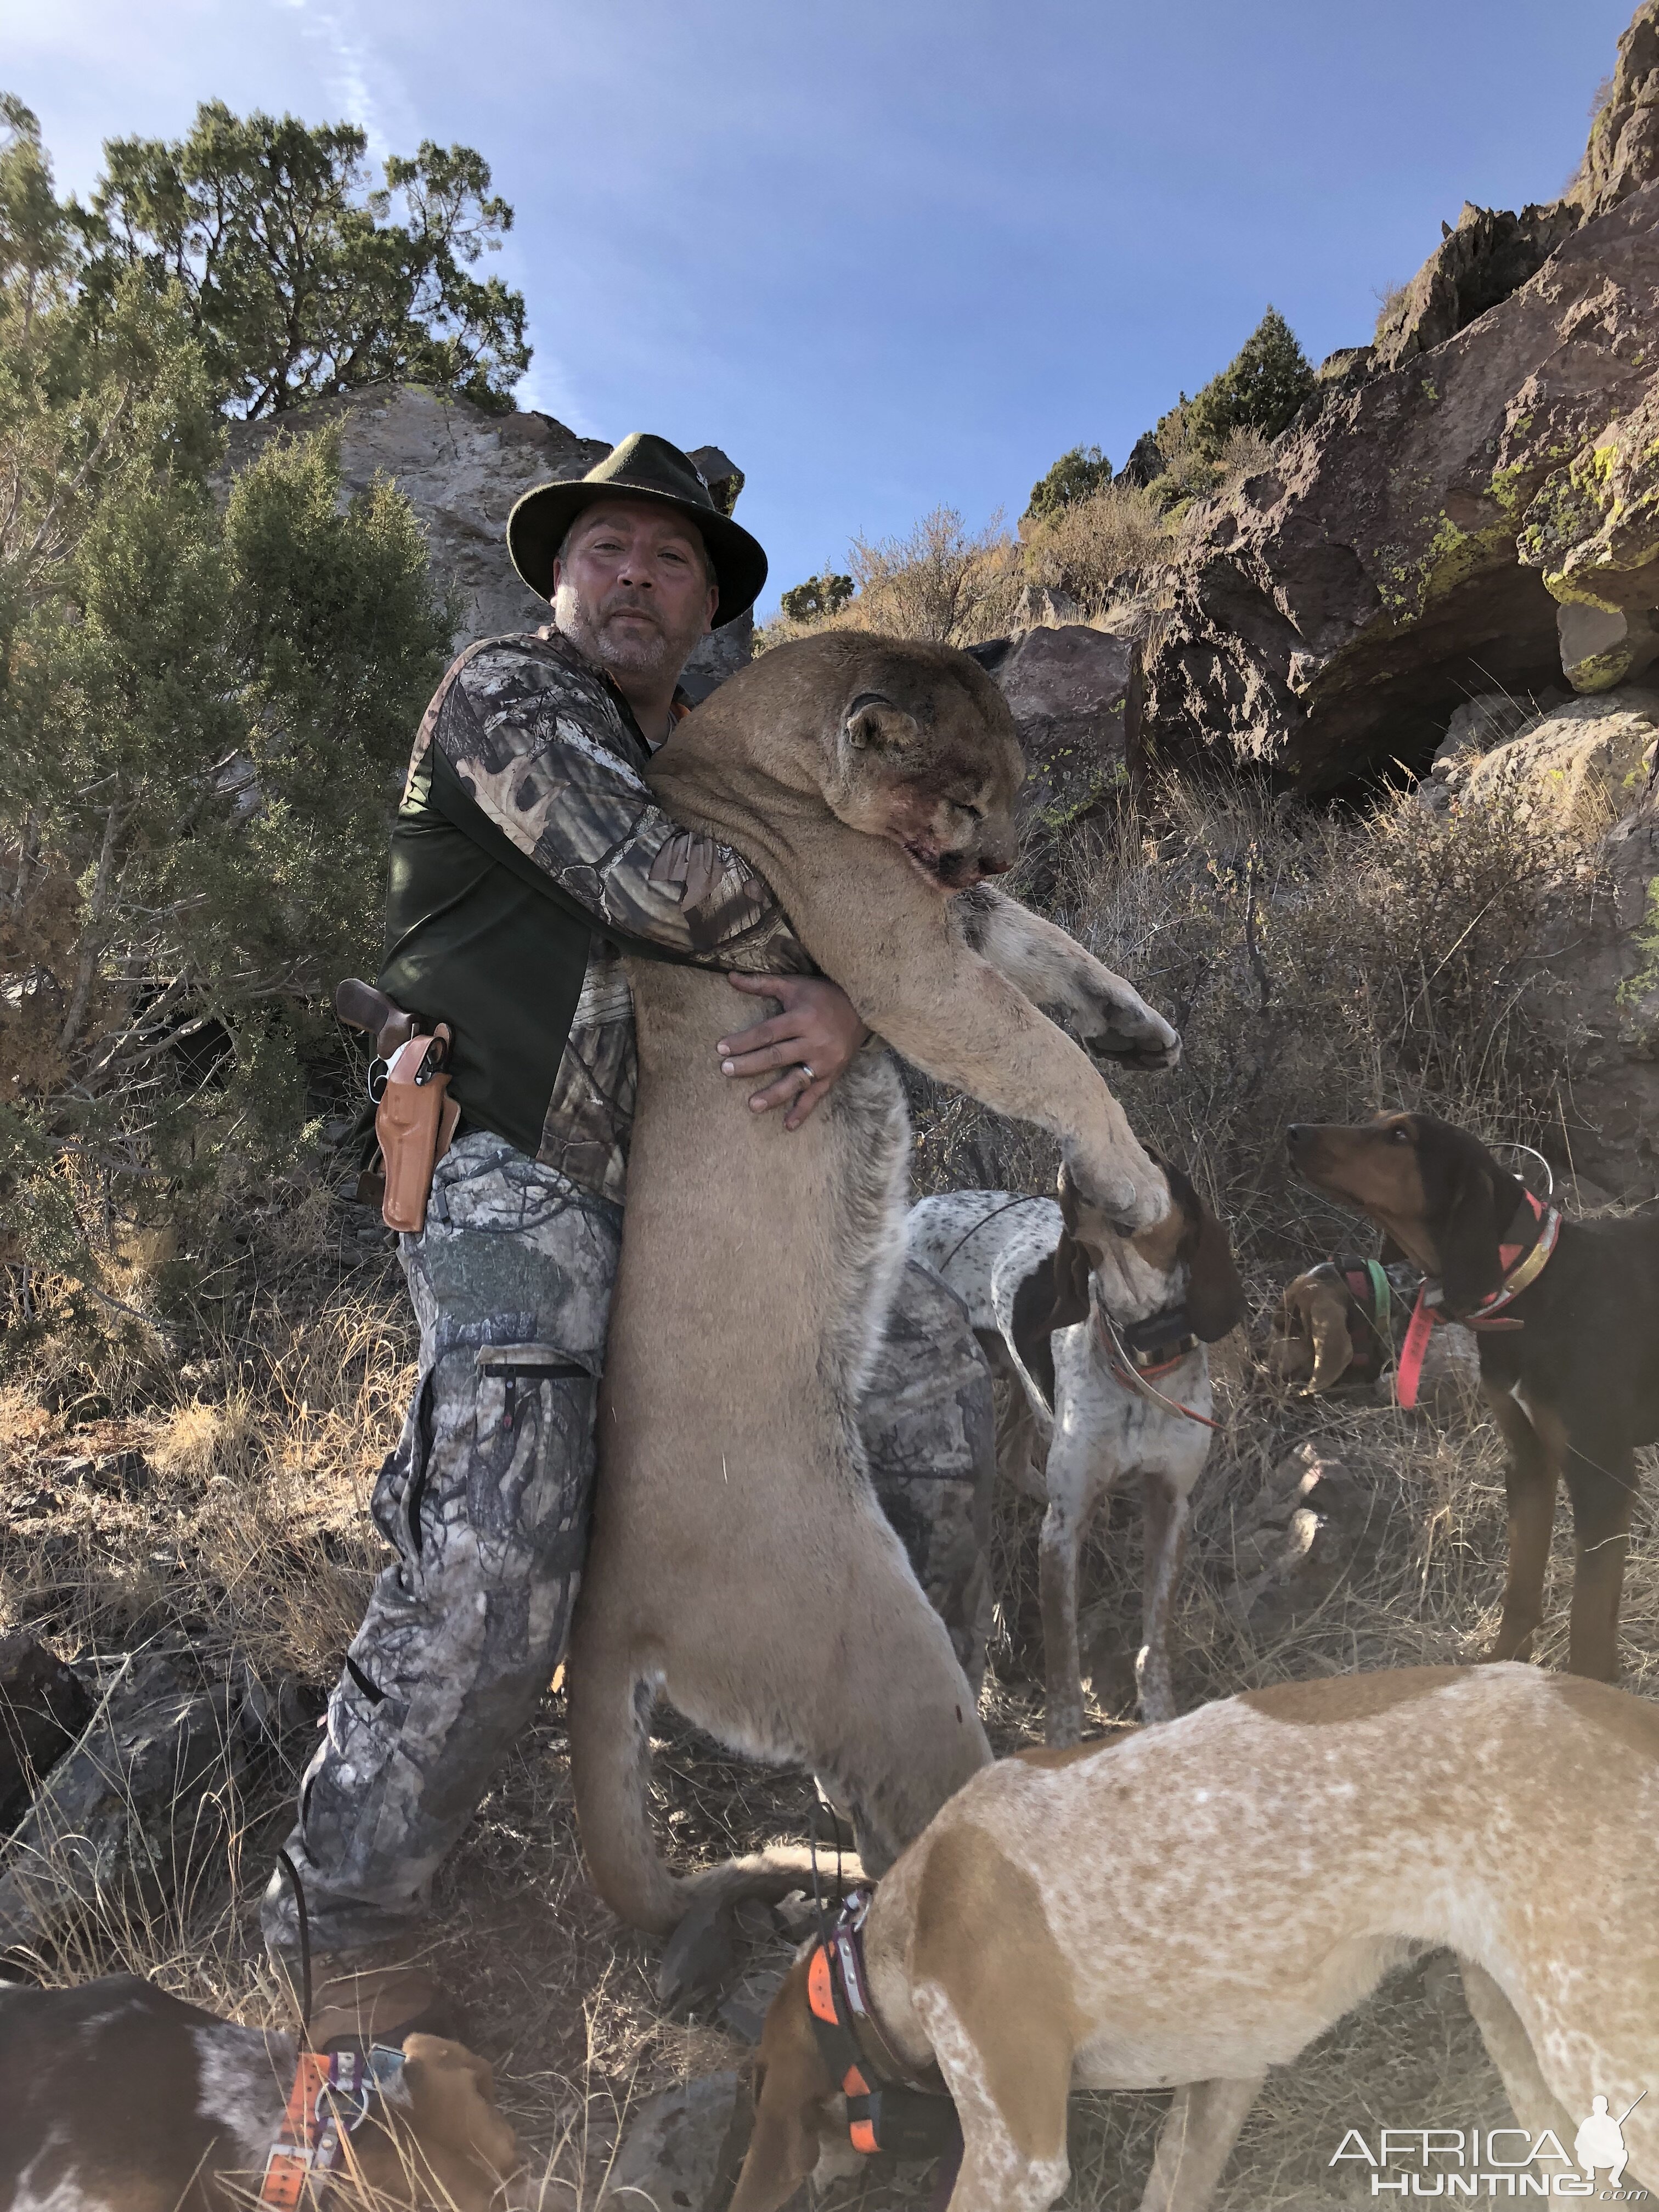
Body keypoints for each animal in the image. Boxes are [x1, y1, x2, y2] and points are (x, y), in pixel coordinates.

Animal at [571, 633, 1186, 1982]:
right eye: (964, 795)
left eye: (1015, 778)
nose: (997, 846)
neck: (756, 740)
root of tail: (604, 1608)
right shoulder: (904, 961)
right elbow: (1038, 1048)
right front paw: (1135, 1179)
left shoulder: (942, 914)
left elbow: (1042, 945)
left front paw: (1140, 1024)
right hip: (883, 1654)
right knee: (929, 1831)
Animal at [911, 1159, 1248, 1743]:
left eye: (1150, 1156)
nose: (1075, 1168)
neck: (1140, 1354)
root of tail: (917, 1207)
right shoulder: (1060, 1538)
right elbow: (1063, 1666)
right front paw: (1064, 1741)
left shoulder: (1171, 1508)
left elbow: (1155, 1643)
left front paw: (1161, 1717)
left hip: (1017, 1378)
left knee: (1013, 1456)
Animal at [1300, 1115, 1659, 1681]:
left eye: (1400, 1136)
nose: (1293, 1133)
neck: (1532, 1288)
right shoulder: (1528, 1460)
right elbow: (1521, 1590)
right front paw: (1500, 1668)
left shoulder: (1603, 1477)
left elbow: (1588, 1625)